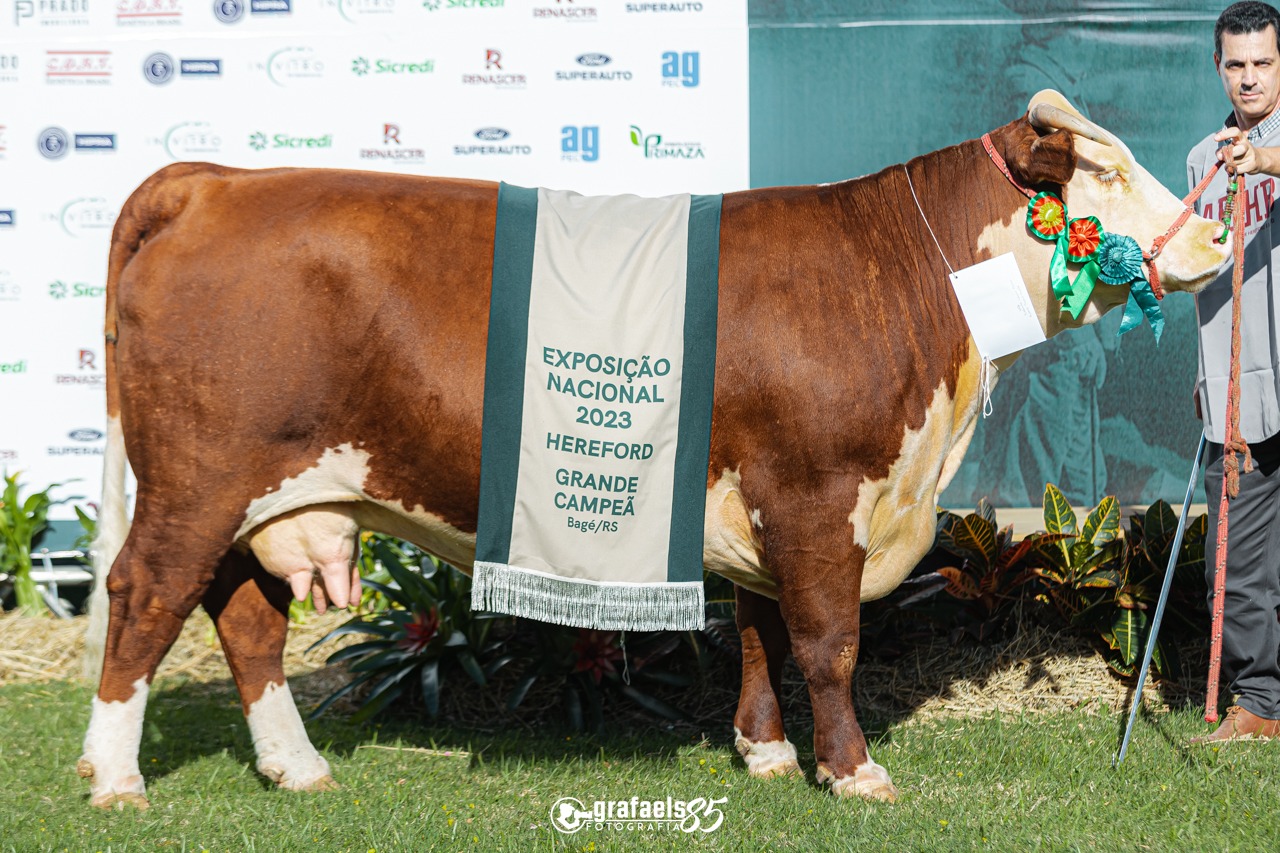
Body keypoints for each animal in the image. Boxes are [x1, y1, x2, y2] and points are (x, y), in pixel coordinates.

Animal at [77, 90, 1229, 808]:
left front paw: (765, 753)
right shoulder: (816, 493)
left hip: (263, 497)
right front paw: (853, 772)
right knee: (145, 599)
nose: (1218, 236)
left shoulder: (759, 499)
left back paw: (296, 767)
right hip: (197, 483)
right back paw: (115, 776)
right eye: (1106, 172)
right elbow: (828, 642)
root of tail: (214, 180)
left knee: (243, 621)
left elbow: (761, 633)